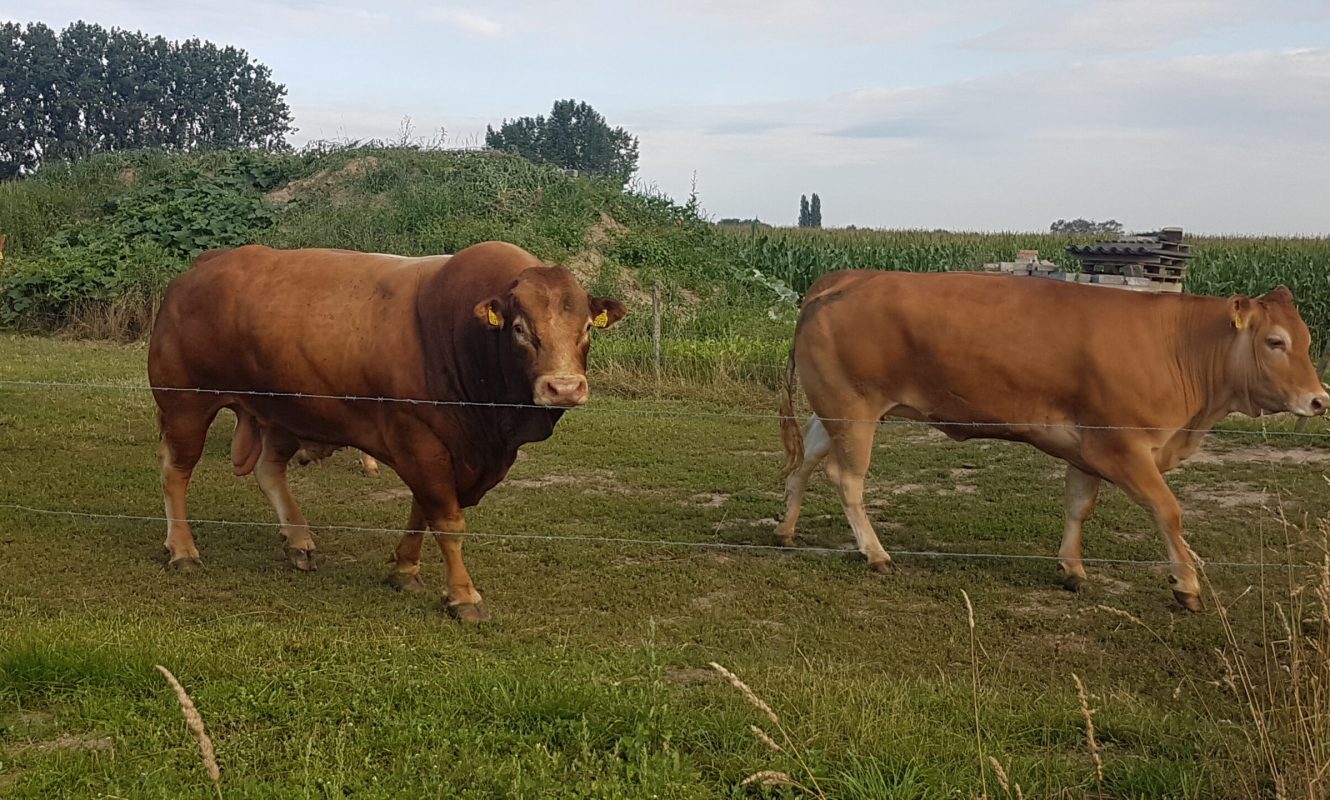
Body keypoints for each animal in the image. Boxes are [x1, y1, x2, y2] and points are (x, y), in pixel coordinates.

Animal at [148, 239, 625, 619]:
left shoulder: (447, 451)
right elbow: (446, 519)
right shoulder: (421, 440)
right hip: (185, 403)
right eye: (521, 329)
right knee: (176, 471)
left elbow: (422, 511)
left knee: (269, 469)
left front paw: (405, 569)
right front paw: (462, 595)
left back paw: (299, 541)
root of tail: (203, 265)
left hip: (281, 411)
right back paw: (183, 550)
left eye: (586, 328)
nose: (564, 387)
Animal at [776, 271, 1324, 608]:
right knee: (846, 478)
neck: (1178, 348)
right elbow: (1168, 511)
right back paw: (876, 554)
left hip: (836, 412)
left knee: (806, 460)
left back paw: (786, 529)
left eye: (1308, 341)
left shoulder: (1087, 449)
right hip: (854, 412)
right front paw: (1186, 583)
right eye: (1275, 342)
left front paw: (1073, 569)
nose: (1319, 400)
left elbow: (1078, 506)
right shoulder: (1122, 448)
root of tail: (846, 277)